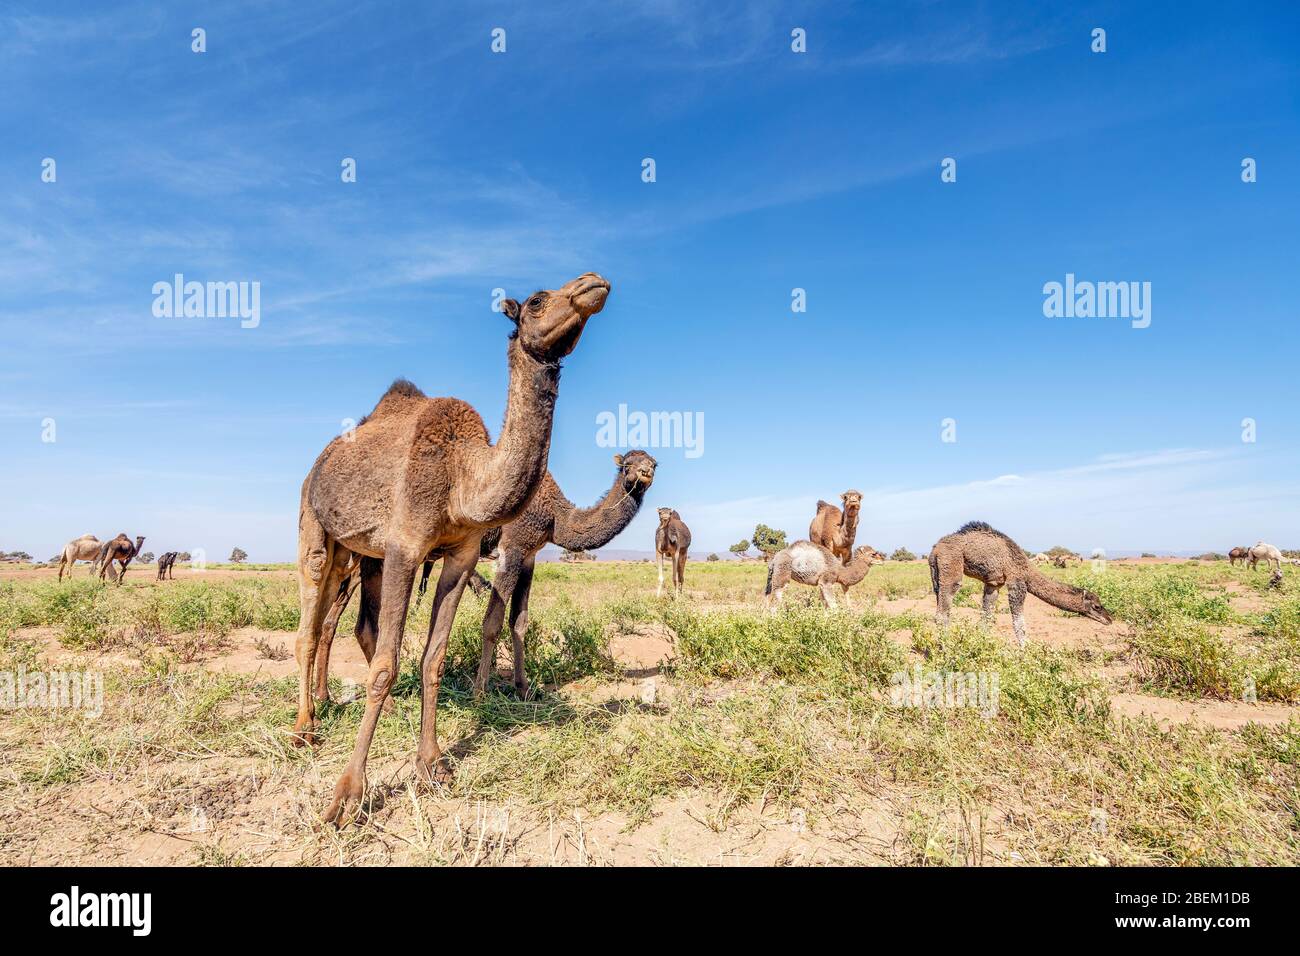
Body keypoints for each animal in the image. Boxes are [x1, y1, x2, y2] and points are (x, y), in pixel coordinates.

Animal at [292, 273, 605, 827]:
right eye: (538, 301)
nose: (593, 284)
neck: (463, 476)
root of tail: (320, 461)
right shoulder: (405, 545)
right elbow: (385, 666)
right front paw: (348, 795)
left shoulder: (459, 555)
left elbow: (433, 657)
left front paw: (432, 763)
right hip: (315, 524)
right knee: (309, 625)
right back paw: (304, 727)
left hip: (360, 554)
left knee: (351, 623)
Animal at [315, 447, 660, 702]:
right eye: (627, 465)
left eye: (653, 462)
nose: (646, 472)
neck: (556, 516)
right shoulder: (513, 545)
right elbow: (493, 622)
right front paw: (480, 692)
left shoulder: (529, 556)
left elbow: (519, 621)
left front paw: (523, 688)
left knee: (332, 621)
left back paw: (325, 697)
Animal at [930, 522, 1112, 650]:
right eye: (1097, 606)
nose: (1109, 619)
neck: (1025, 566)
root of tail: (935, 549)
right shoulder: (1016, 582)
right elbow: (1019, 622)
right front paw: (1027, 651)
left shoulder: (993, 583)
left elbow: (987, 616)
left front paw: (983, 644)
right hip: (951, 562)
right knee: (944, 610)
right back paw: (946, 649)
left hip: (936, 573)